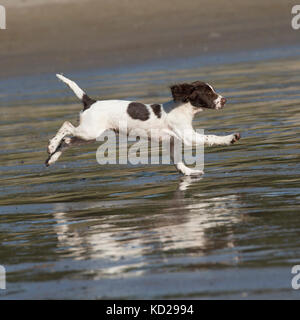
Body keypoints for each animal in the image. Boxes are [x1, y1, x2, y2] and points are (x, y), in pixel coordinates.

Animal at [45, 74, 240, 175]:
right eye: (209, 93)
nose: (225, 100)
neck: (183, 108)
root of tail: (90, 101)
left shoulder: (172, 141)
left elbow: (177, 161)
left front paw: (188, 173)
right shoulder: (188, 136)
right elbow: (211, 137)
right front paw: (230, 138)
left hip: (89, 135)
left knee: (67, 141)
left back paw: (52, 158)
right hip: (89, 132)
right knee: (66, 125)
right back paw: (51, 145)